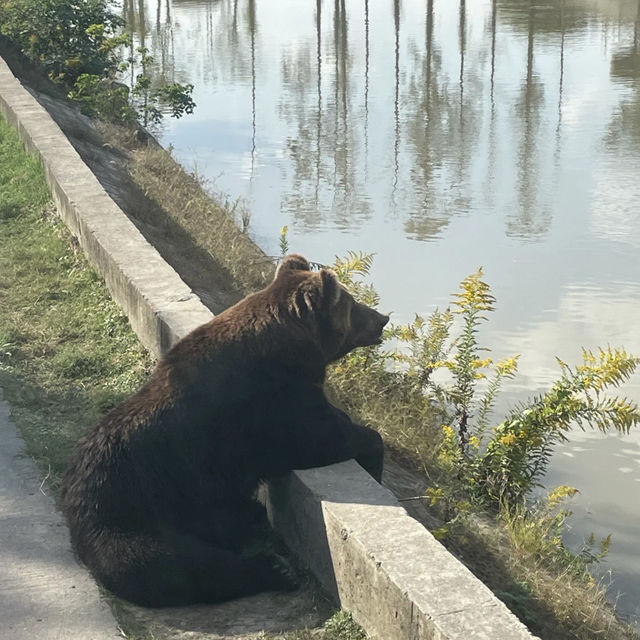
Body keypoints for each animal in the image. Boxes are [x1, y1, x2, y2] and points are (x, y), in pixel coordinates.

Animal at [62, 254, 388, 604]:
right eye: (352, 304)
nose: (382, 318)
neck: (294, 353)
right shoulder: (270, 408)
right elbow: (324, 439)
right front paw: (372, 453)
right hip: (139, 509)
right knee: (174, 563)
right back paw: (275, 569)